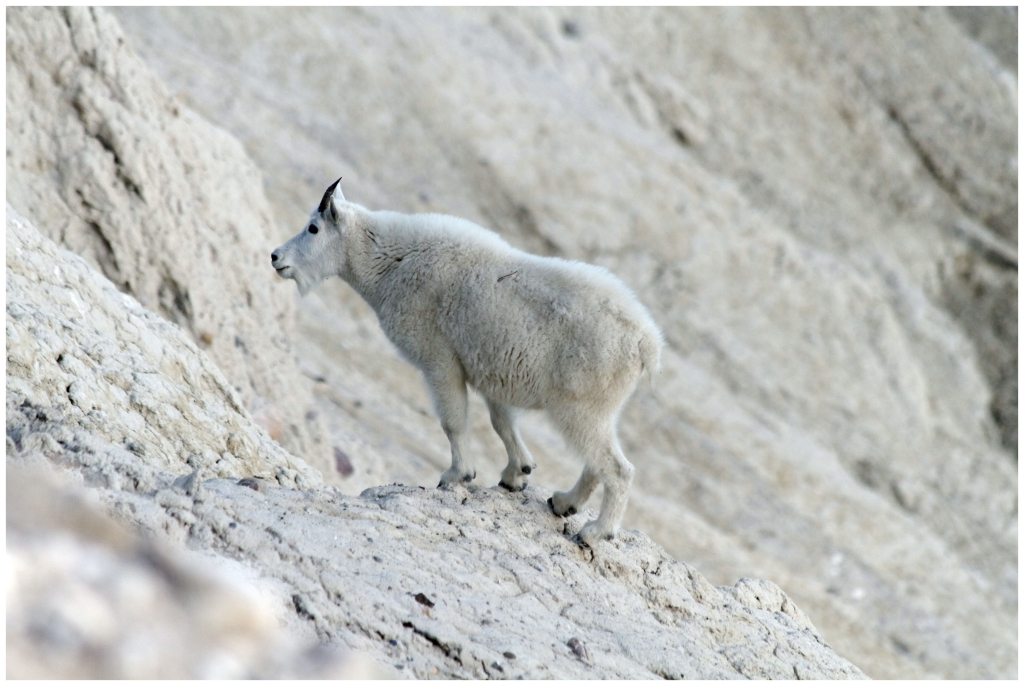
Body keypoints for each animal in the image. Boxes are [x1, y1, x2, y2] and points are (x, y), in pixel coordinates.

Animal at [271, 179, 663, 546]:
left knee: (617, 468)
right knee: (598, 462)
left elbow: (453, 422)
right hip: (599, 410)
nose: (275, 257)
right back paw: (564, 503)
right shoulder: (492, 368)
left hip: (581, 407)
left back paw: (595, 531)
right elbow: (501, 422)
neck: (389, 260)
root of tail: (647, 342)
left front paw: (457, 475)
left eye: (313, 228)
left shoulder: (439, 360)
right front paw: (517, 474)